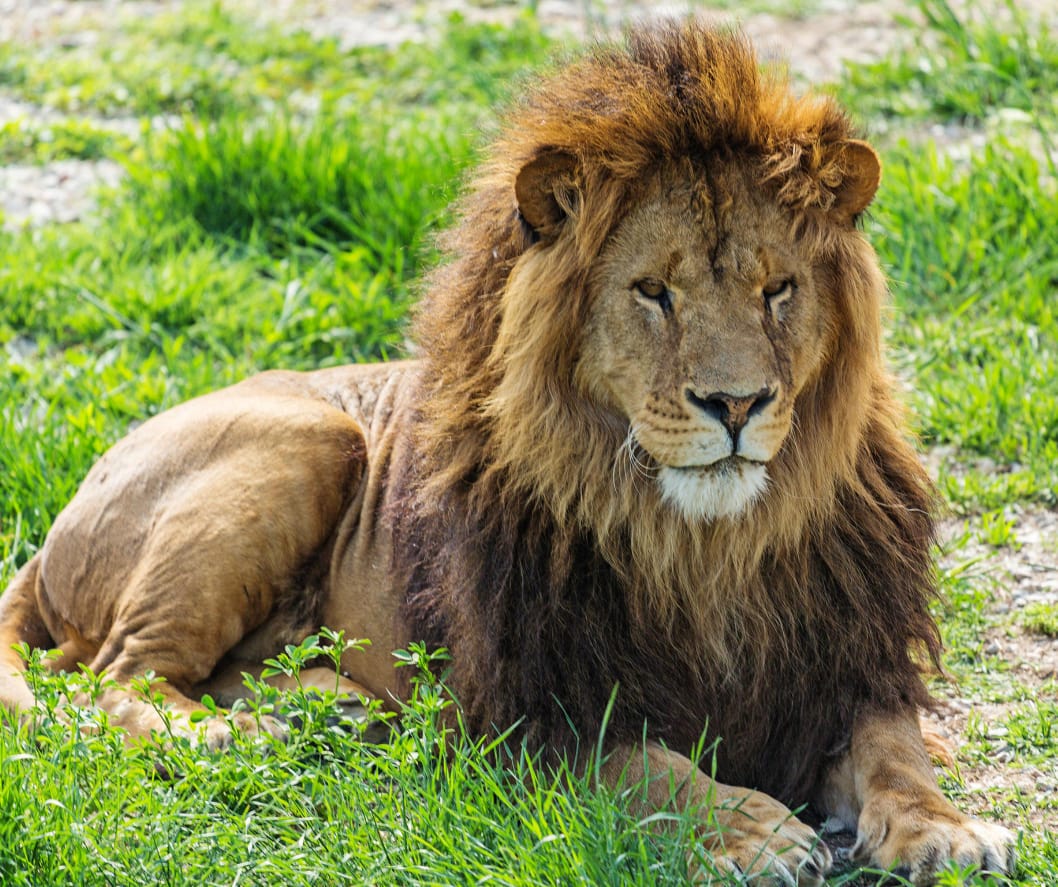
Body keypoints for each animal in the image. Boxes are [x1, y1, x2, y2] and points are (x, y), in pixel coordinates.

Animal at [0, 20, 1013, 885]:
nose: (736, 403)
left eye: (778, 290)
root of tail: (52, 537)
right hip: (311, 439)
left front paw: (947, 828)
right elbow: (648, 764)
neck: (705, 545)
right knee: (113, 675)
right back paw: (237, 737)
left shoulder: (845, 669)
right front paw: (751, 828)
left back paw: (323, 705)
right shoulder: (530, 710)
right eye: (654, 291)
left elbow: (895, 752)